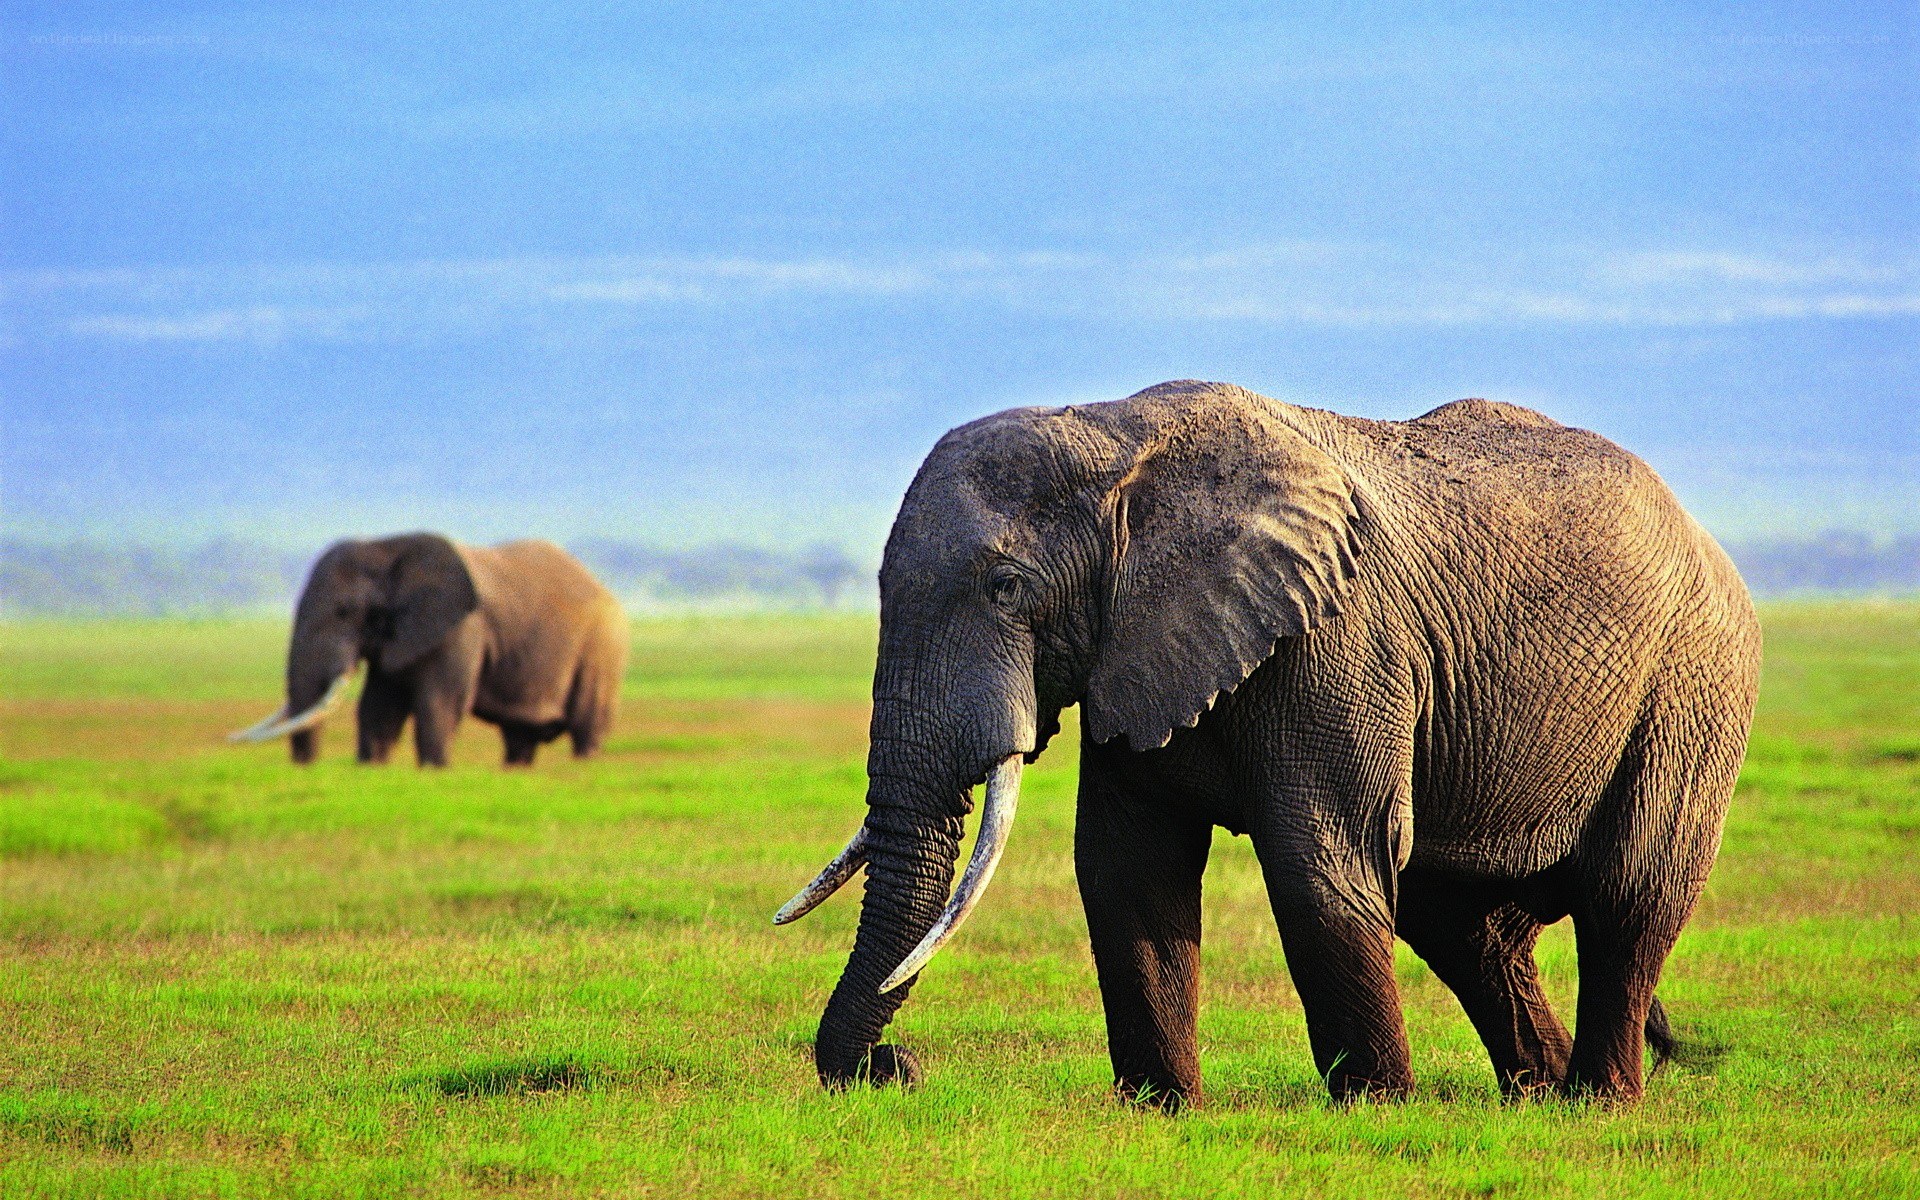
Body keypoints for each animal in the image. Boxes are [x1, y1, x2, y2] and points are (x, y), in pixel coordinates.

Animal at [231, 534, 628, 767]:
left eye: (344, 611)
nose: (306, 766)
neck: (388, 548)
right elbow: (379, 707)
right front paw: (372, 767)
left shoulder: (462, 629)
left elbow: (440, 702)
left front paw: (434, 771)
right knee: (519, 739)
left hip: (602, 647)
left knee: (586, 726)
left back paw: (586, 764)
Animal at [776, 380, 1760, 1109]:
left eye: (1007, 588)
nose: (896, 1069)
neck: (1113, 437)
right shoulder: (1139, 646)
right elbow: (1127, 868)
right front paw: (1163, 1110)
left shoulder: (1340, 642)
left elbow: (1318, 864)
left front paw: (1376, 1109)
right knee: (1464, 926)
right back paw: (1539, 1095)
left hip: (1693, 687)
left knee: (1629, 897)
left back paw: (1599, 1100)